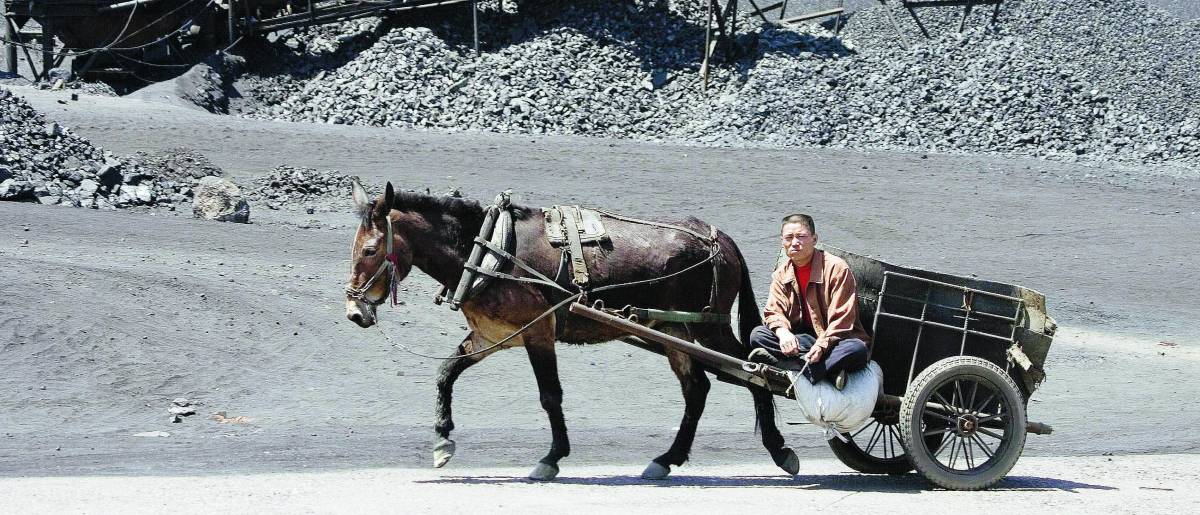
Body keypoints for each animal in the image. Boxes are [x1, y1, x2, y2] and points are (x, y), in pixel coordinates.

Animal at [345, 180, 796, 477]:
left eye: (370, 249)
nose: (353, 311)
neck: (489, 250)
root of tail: (721, 238)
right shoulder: (492, 335)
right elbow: (445, 372)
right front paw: (442, 441)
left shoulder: (538, 332)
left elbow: (550, 396)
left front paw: (551, 458)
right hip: (676, 332)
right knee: (700, 388)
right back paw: (667, 459)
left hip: (706, 327)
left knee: (756, 370)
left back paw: (779, 450)